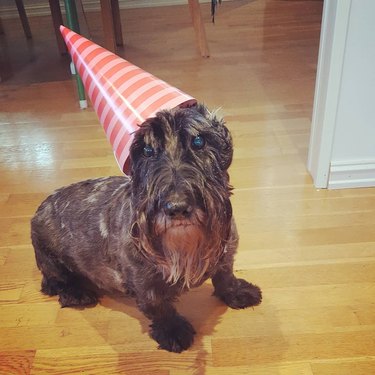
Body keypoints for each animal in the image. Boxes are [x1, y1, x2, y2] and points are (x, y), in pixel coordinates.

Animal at [30, 104, 262, 354]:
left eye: (199, 141)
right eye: (147, 151)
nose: (176, 208)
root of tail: (39, 210)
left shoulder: (226, 255)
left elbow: (225, 277)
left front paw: (238, 292)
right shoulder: (145, 285)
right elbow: (159, 308)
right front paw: (173, 331)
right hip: (51, 260)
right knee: (54, 281)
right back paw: (76, 293)